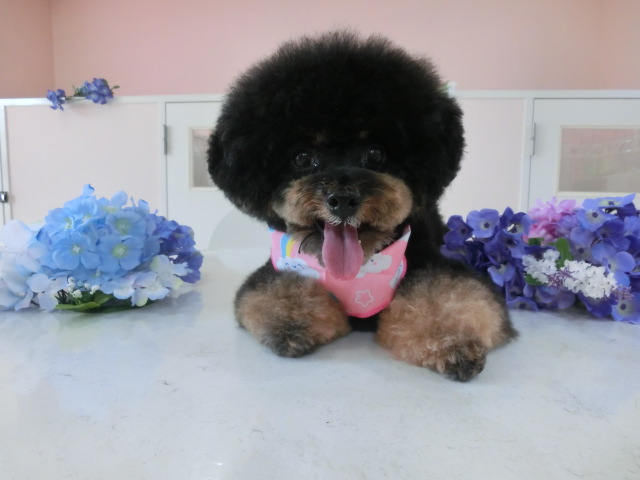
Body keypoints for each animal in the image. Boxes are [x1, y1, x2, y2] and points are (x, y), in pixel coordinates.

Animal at [207, 31, 517, 381]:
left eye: (376, 153)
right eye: (302, 157)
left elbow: (443, 292)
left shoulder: (434, 265)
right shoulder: (274, 272)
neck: (359, 272)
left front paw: (454, 343)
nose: (342, 199)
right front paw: (293, 325)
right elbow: (275, 290)